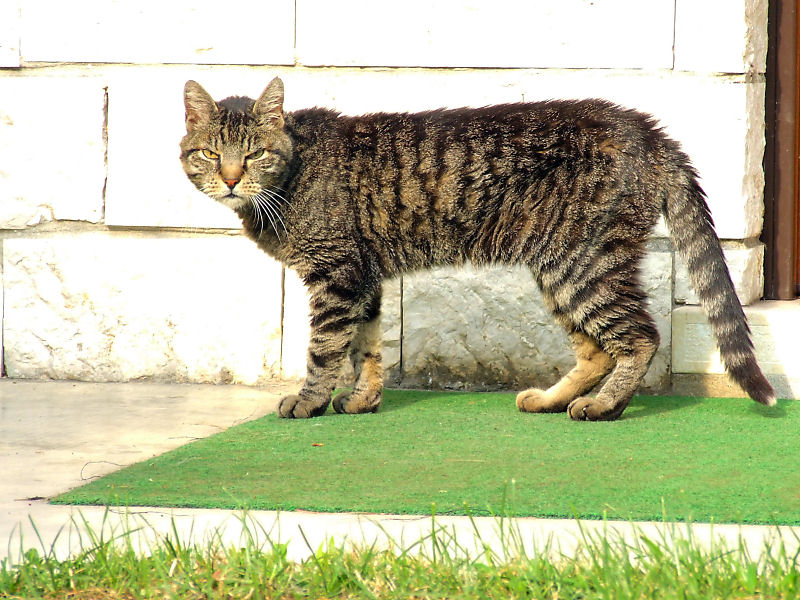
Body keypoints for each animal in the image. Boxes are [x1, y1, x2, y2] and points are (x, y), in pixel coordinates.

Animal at [181, 77, 776, 420]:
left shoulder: (337, 276)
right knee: (596, 349)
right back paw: (551, 399)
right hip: (561, 268)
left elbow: (325, 350)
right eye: (209, 153)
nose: (230, 179)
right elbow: (366, 347)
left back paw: (605, 406)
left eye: (255, 154)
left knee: (639, 338)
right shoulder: (362, 279)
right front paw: (365, 399)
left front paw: (309, 402)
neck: (289, 179)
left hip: (582, 263)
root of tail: (649, 129)